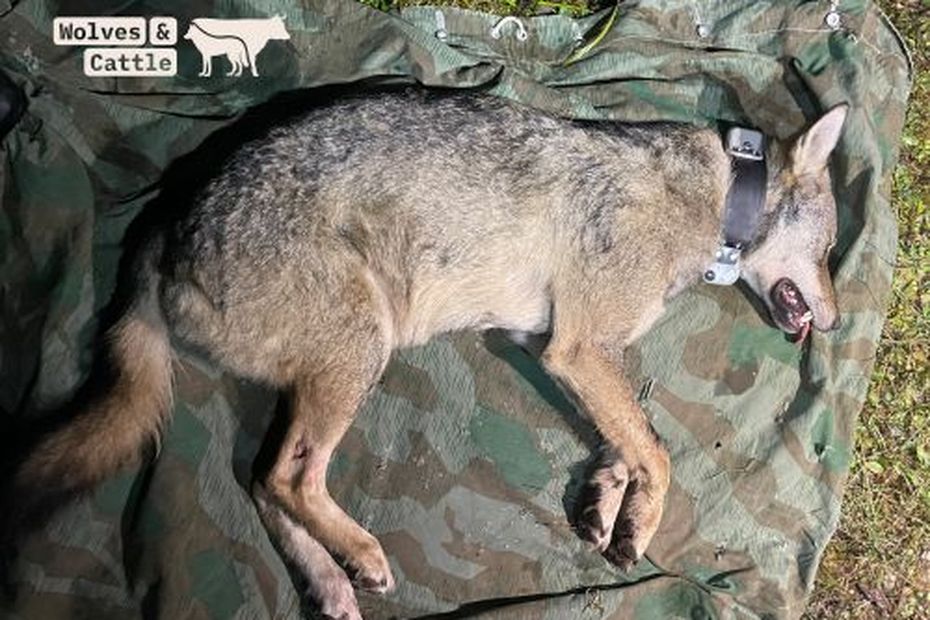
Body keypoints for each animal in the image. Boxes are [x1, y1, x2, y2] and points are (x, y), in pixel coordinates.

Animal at [3, 89, 844, 616]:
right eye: (832, 250)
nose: (835, 324)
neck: (712, 202)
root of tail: (166, 222)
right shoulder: (573, 349)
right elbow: (660, 453)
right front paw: (640, 519)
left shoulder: (559, 350)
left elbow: (631, 438)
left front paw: (607, 506)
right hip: (365, 348)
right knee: (287, 477)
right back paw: (364, 554)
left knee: (261, 481)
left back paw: (332, 583)